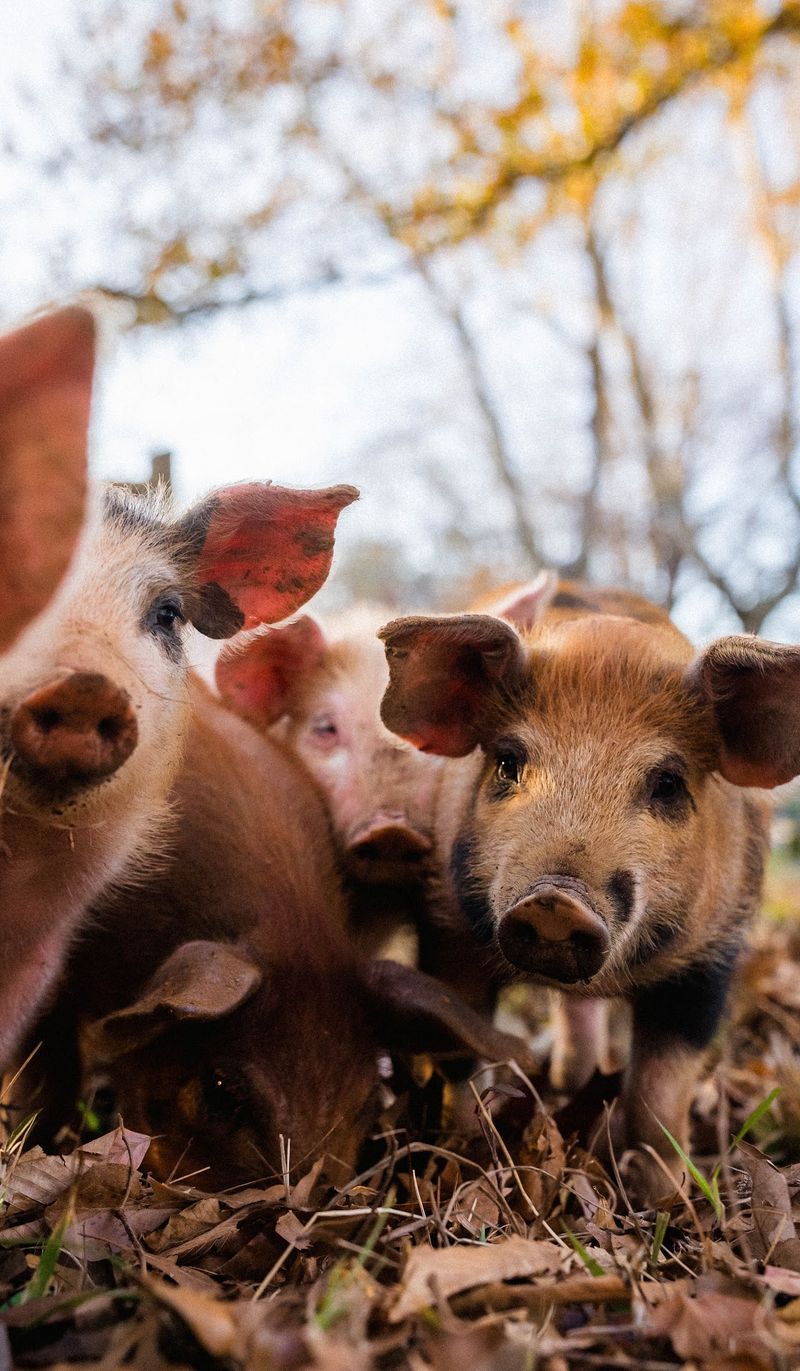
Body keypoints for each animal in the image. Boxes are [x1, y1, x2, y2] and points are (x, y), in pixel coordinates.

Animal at [377, 577, 796, 1200]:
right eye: (508, 762)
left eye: (667, 783)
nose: (555, 900)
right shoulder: (448, 930)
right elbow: (462, 1055)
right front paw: (464, 1152)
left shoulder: (710, 960)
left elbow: (658, 1095)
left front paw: (663, 1197)